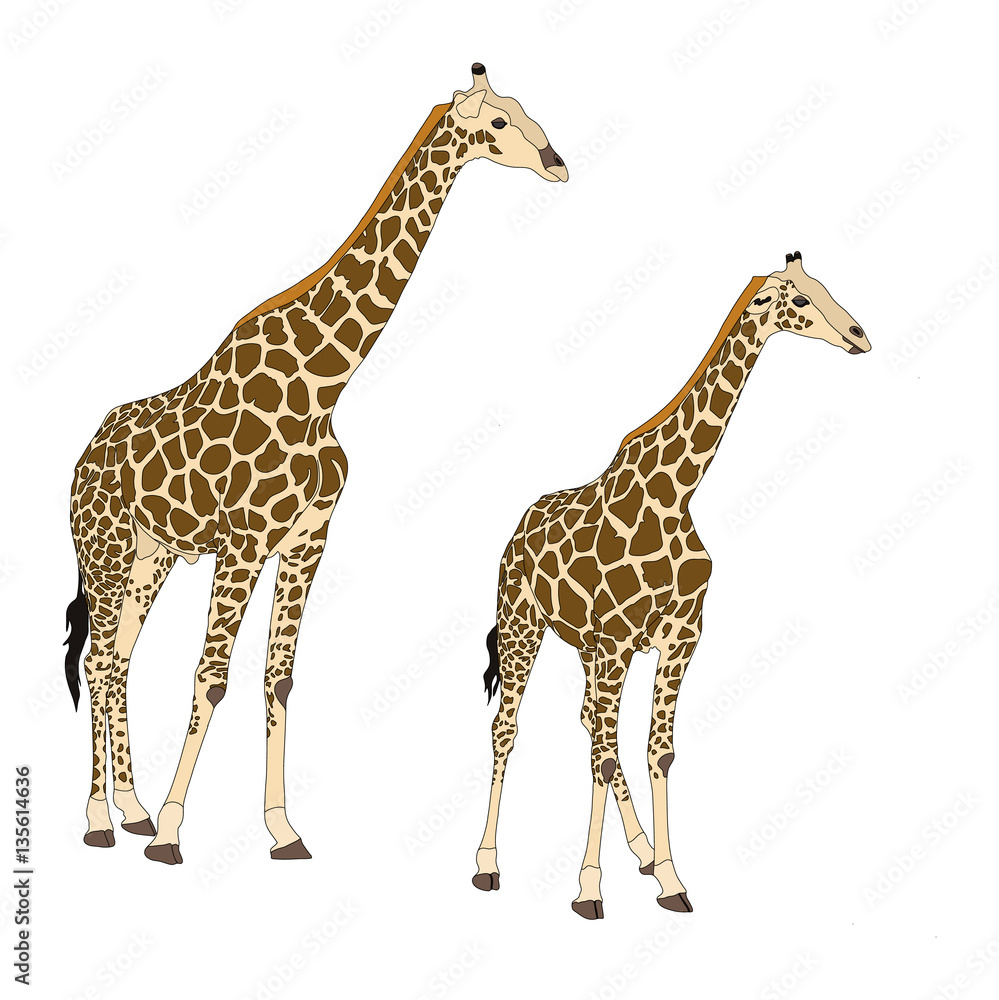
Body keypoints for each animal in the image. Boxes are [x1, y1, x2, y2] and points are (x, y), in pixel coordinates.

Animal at [63, 64, 568, 864]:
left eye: (523, 110)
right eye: (495, 124)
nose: (556, 163)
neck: (323, 384)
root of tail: (80, 459)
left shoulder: (306, 540)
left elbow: (279, 681)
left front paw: (280, 830)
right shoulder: (243, 543)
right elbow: (211, 677)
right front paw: (173, 834)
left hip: (151, 555)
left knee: (118, 660)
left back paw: (131, 809)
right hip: (104, 551)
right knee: (96, 661)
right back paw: (100, 821)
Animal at [472, 252, 870, 918]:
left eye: (825, 286)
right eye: (798, 298)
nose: (859, 336)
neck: (677, 492)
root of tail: (512, 535)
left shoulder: (678, 639)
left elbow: (657, 750)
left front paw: (671, 879)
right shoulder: (616, 642)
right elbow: (604, 758)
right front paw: (588, 890)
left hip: (586, 647)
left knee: (590, 723)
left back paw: (640, 853)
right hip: (524, 627)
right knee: (511, 729)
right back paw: (487, 865)